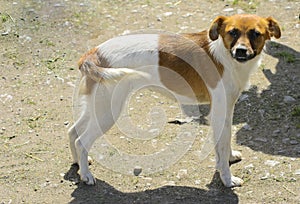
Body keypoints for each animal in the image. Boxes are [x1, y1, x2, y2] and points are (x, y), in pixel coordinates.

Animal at [68, 13, 282, 187]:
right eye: (233, 32)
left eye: (256, 34)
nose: (241, 51)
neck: (226, 56)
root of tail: (94, 53)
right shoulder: (219, 111)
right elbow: (221, 145)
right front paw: (227, 179)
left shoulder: (227, 110)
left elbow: (224, 140)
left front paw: (228, 158)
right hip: (107, 111)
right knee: (81, 140)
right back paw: (86, 175)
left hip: (95, 107)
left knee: (72, 131)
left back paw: (79, 163)